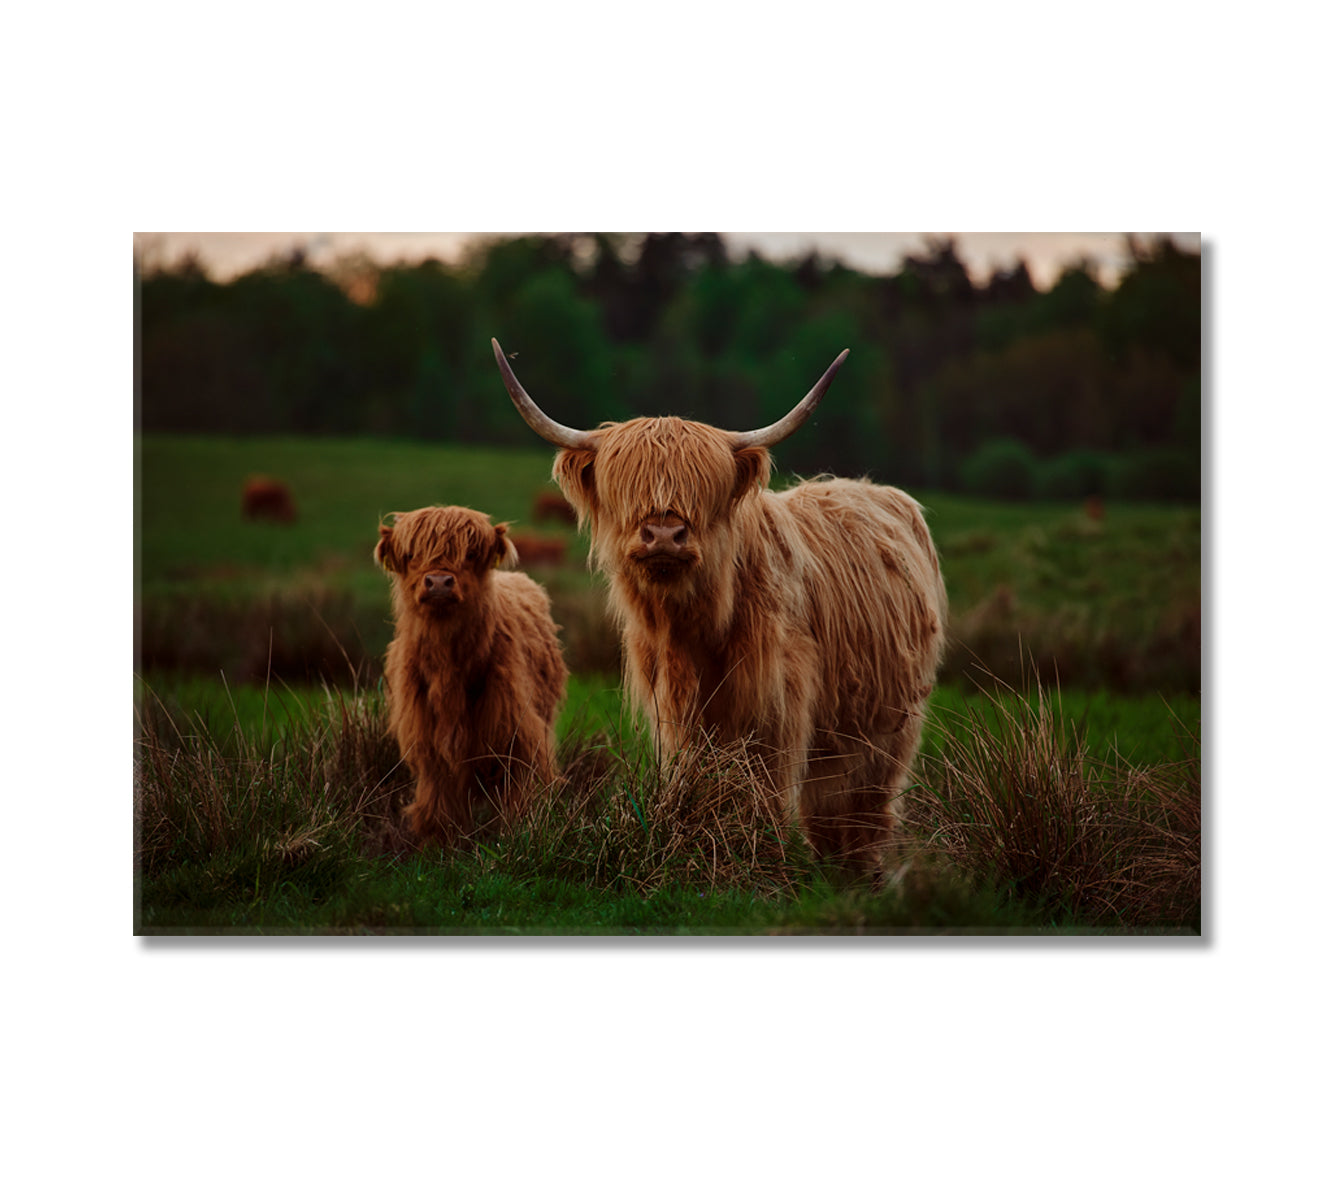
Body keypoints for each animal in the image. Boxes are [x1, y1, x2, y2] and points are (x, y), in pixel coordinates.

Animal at [373, 506, 570, 842]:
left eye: (471, 554)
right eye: (411, 554)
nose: (439, 582)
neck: (448, 669)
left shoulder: (517, 737)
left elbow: (519, 796)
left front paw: (518, 836)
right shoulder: (429, 745)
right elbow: (438, 805)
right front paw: (438, 843)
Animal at [493, 337, 949, 869]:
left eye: (702, 488)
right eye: (627, 488)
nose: (663, 534)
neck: (697, 631)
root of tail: (875, 491)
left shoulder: (775, 712)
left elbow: (763, 791)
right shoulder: (675, 711)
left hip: (888, 724)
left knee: (863, 808)